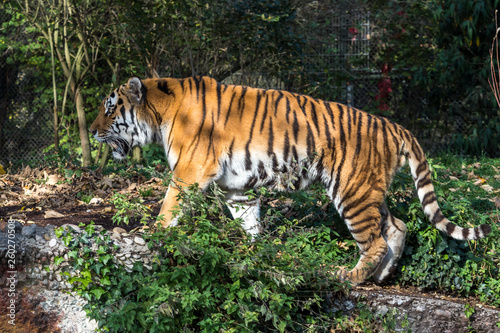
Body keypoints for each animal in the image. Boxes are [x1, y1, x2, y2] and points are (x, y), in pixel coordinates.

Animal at [90, 76, 492, 286]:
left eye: (110, 108)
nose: (92, 130)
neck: (159, 115)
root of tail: (394, 126)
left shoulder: (188, 173)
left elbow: (167, 209)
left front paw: (149, 236)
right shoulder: (236, 188)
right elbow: (249, 223)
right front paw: (255, 256)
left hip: (351, 190)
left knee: (376, 239)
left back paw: (350, 276)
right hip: (370, 190)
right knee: (397, 226)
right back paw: (382, 276)